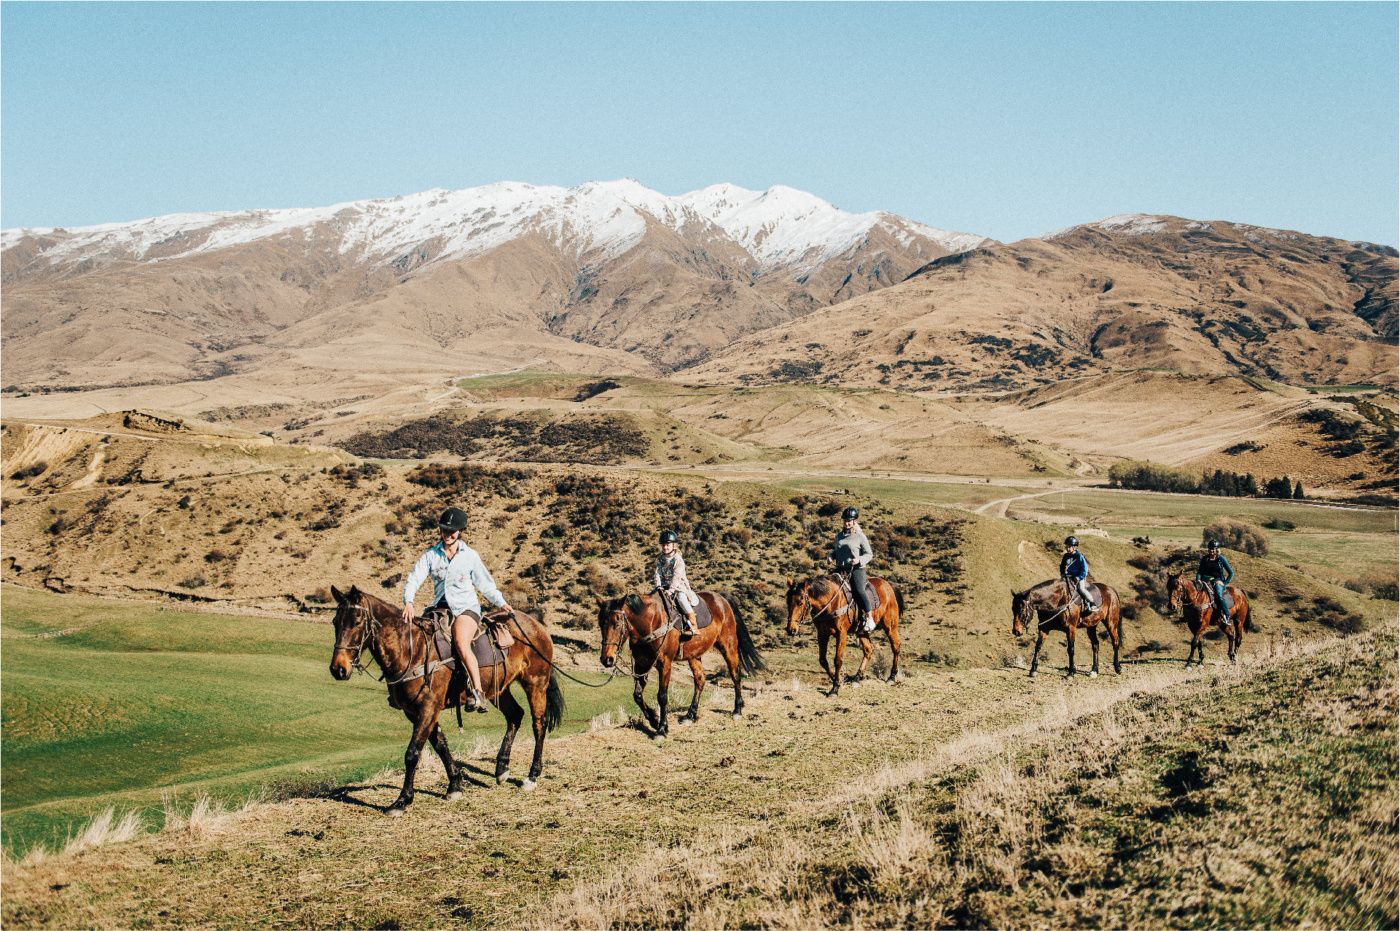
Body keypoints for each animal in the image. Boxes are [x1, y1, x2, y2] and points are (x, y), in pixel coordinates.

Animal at [327, 585, 564, 814]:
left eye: (357, 622)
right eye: (335, 622)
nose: (338, 669)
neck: (412, 650)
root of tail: (534, 623)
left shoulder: (428, 708)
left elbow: (412, 753)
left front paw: (403, 800)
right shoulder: (415, 712)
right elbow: (440, 745)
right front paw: (454, 786)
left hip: (536, 684)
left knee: (539, 724)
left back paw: (532, 775)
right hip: (498, 689)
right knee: (515, 715)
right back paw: (501, 768)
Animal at [596, 590, 763, 738]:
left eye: (617, 623)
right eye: (600, 624)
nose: (607, 659)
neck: (651, 622)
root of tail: (722, 598)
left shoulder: (664, 664)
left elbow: (662, 696)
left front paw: (662, 729)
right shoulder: (641, 664)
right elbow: (637, 695)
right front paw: (654, 720)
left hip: (728, 646)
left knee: (735, 674)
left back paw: (737, 710)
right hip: (694, 655)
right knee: (700, 679)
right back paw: (690, 715)